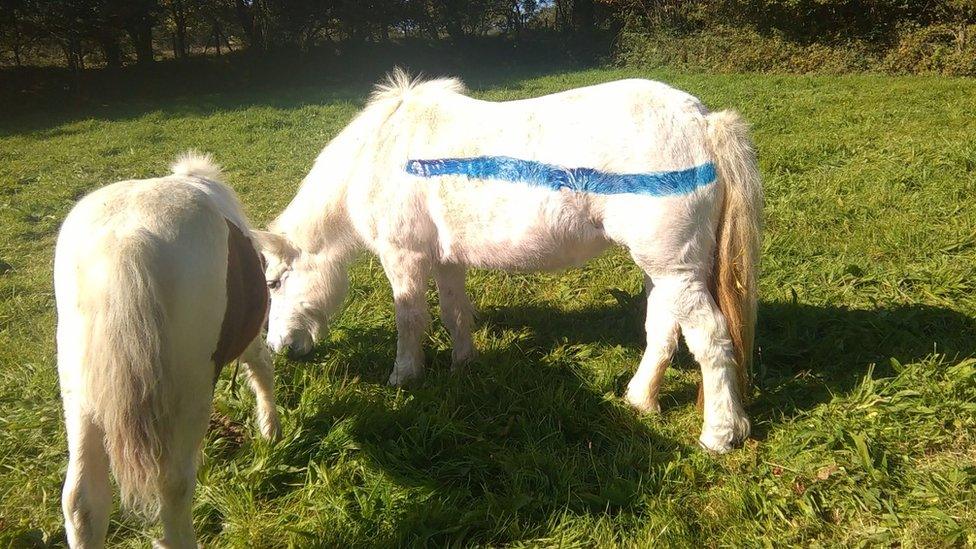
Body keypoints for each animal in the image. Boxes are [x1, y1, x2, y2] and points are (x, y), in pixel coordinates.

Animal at [55, 154, 280, 548]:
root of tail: (127, 240)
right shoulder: (250, 338)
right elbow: (262, 370)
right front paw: (271, 429)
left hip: (80, 394)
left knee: (82, 500)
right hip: (190, 391)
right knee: (173, 485)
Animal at [258, 70, 764, 452]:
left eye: (275, 283)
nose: (279, 347)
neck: (381, 154)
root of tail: (702, 121)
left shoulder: (403, 257)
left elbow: (410, 320)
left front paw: (404, 376)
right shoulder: (446, 260)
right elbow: (455, 313)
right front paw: (463, 365)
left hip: (675, 271)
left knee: (711, 339)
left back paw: (720, 434)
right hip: (662, 269)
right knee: (661, 331)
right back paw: (640, 400)